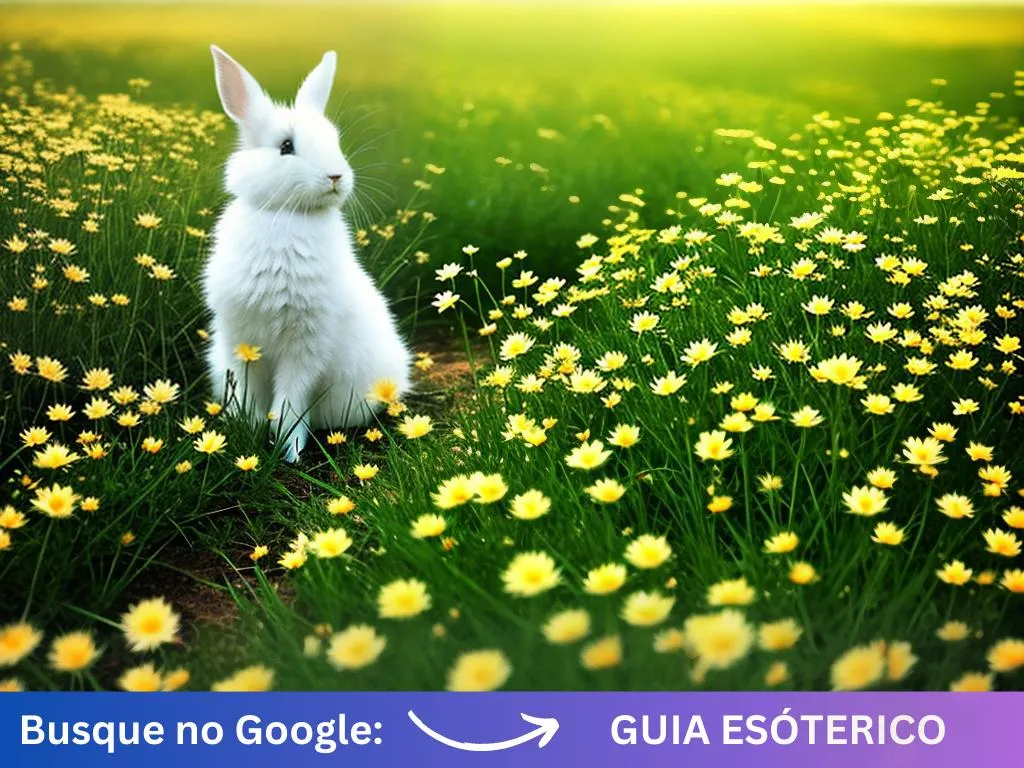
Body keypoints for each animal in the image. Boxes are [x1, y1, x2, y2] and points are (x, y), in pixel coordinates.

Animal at [203, 45, 411, 463]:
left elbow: (291, 399)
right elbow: (247, 392)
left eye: (335, 140)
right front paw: (245, 432)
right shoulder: (239, 339)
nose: (336, 176)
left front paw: (290, 450)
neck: (288, 216)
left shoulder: (308, 342)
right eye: (286, 146)